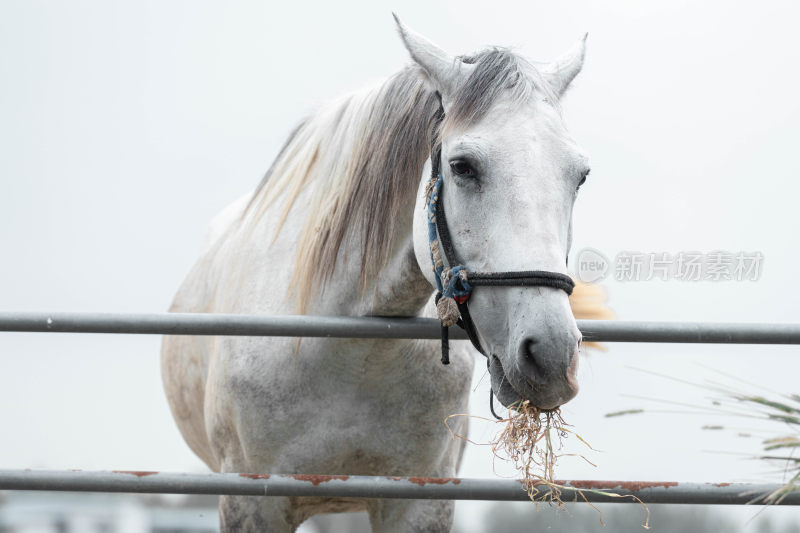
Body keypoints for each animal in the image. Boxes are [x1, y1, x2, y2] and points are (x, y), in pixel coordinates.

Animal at [162, 17, 592, 532]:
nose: (551, 356)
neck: (351, 349)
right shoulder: (251, 503)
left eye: (580, 176)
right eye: (462, 166)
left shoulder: (420, 502)